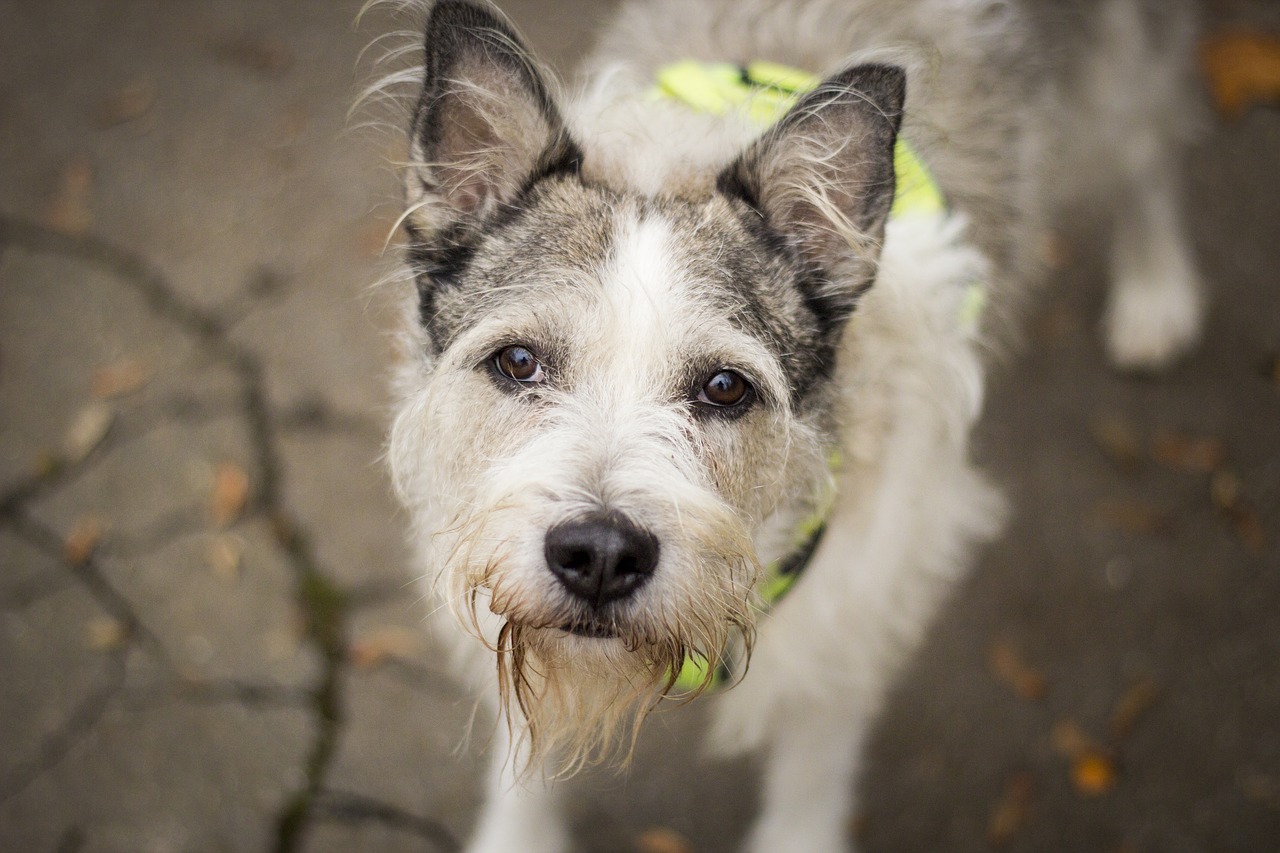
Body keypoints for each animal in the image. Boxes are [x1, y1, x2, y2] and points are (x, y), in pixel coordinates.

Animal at [384, 1, 1203, 845]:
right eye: (518, 361)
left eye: (724, 387)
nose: (601, 555)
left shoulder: (843, 632)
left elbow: (807, 791)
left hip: (1113, 78)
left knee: (1149, 145)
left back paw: (1157, 290)